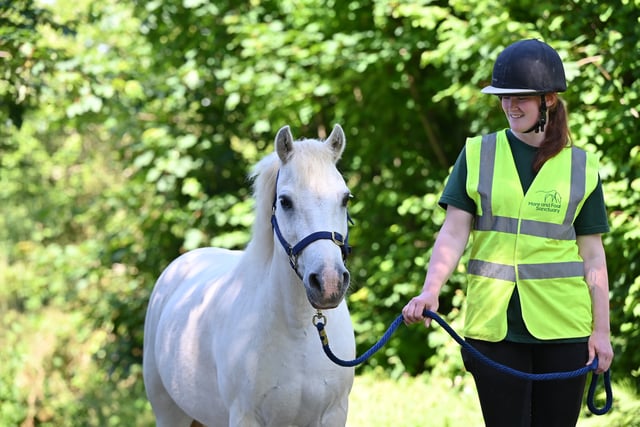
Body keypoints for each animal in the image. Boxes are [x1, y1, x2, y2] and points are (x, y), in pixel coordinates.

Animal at [142, 124, 356, 426]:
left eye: (345, 198)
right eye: (285, 201)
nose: (328, 283)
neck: (299, 331)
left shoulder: (334, 414)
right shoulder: (245, 416)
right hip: (169, 413)